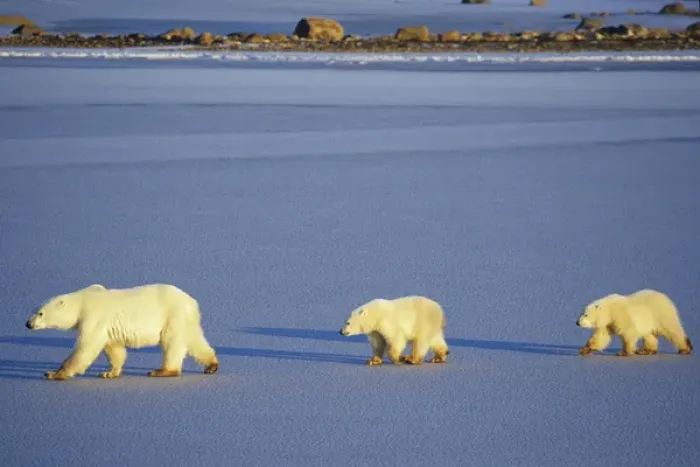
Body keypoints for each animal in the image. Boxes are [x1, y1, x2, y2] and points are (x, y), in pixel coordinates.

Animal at [25, 283, 219, 381]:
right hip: (185, 320)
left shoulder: (94, 317)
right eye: (34, 310)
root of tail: (192, 302)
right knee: (195, 341)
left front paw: (54, 373)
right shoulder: (107, 327)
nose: (27, 324)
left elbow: (86, 347)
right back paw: (211, 365)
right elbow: (113, 348)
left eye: (40, 313)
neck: (82, 302)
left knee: (171, 343)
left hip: (172, 316)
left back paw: (161, 371)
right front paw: (109, 373)